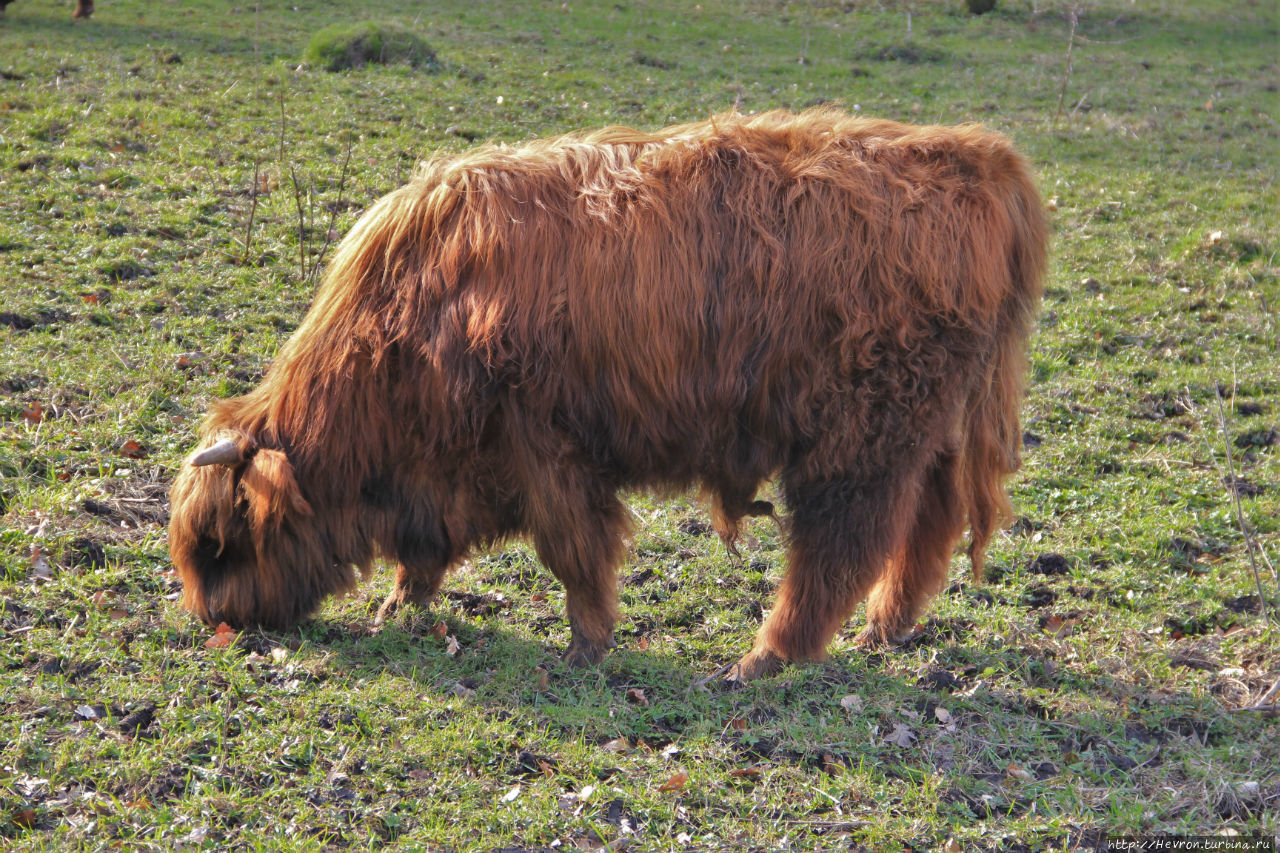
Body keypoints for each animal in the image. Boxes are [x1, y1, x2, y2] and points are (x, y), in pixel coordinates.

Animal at [170, 109, 1044, 676]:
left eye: (220, 542)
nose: (216, 621)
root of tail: (978, 155)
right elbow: (428, 553)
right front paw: (399, 604)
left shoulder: (547, 447)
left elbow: (573, 551)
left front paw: (588, 644)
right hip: (938, 423)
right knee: (931, 523)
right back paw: (883, 633)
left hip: (862, 436)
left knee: (843, 545)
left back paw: (763, 658)